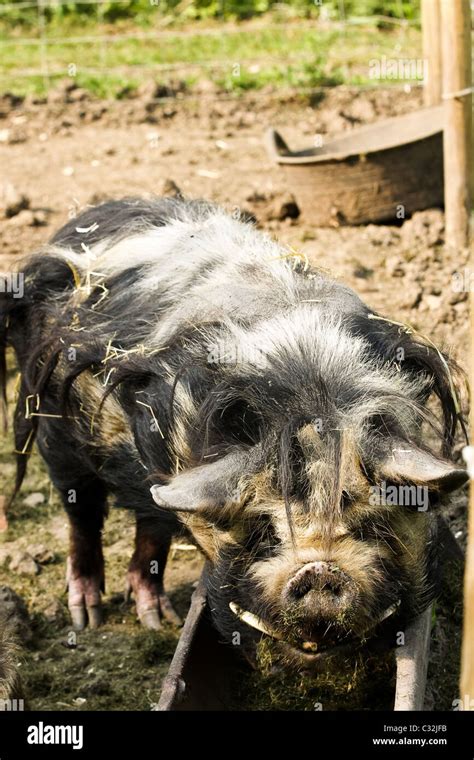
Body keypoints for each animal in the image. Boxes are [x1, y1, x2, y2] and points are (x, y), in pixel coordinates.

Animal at [0, 197, 466, 664]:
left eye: (369, 524)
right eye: (262, 531)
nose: (318, 572)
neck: (309, 394)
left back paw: (156, 619)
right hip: (54, 423)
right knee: (82, 509)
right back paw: (91, 618)